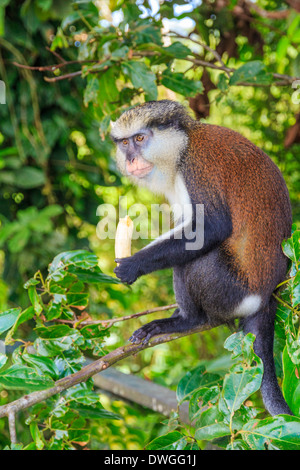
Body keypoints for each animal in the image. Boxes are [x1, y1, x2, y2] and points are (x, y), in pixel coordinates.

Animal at [110, 99, 292, 414]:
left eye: (140, 138)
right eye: (124, 143)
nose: (131, 159)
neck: (181, 146)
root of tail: (267, 298)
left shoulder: (196, 169)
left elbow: (210, 228)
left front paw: (133, 265)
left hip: (231, 293)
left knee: (192, 264)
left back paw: (187, 320)